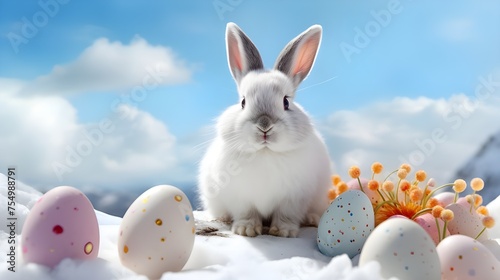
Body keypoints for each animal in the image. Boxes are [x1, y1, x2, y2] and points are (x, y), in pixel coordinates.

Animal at [196, 21, 332, 237]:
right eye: (243, 102)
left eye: (286, 102)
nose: (264, 126)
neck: (265, 152)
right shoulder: (240, 198)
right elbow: (247, 213)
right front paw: (246, 230)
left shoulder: (294, 199)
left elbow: (286, 215)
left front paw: (284, 232)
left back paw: (311, 219)